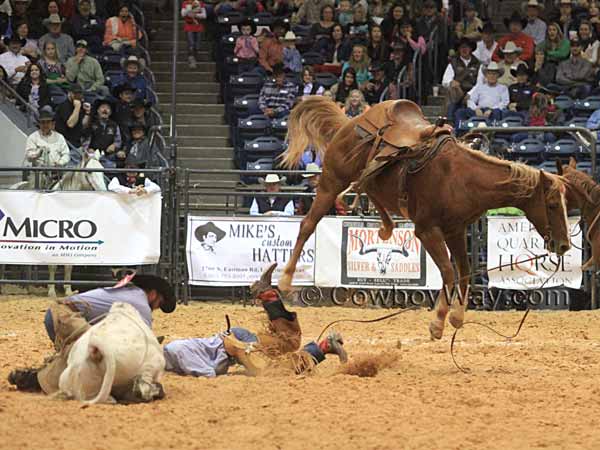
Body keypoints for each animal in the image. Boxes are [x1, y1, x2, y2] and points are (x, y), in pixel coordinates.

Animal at [280, 96, 572, 340]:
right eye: (552, 204)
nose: (564, 245)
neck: (463, 178)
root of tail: (352, 121)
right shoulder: (427, 230)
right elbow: (449, 272)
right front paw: (439, 322)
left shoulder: (456, 230)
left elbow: (464, 272)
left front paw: (456, 317)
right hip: (331, 182)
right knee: (307, 225)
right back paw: (284, 282)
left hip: (370, 181)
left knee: (368, 186)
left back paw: (386, 227)